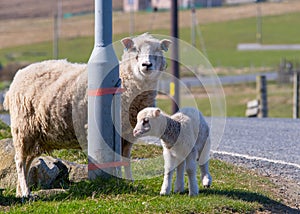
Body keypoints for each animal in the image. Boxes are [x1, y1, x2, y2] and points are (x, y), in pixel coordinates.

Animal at [3, 32, 171, 198]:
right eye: (135, 50)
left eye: (158, 51)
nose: (146, 65)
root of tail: (19, 75)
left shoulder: (127, 135)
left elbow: (126, 161)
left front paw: (130, 181)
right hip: (22, 128)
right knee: (19, 161)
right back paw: (25, 192)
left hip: (36, 135)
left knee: (27, 161)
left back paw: (20, 192)